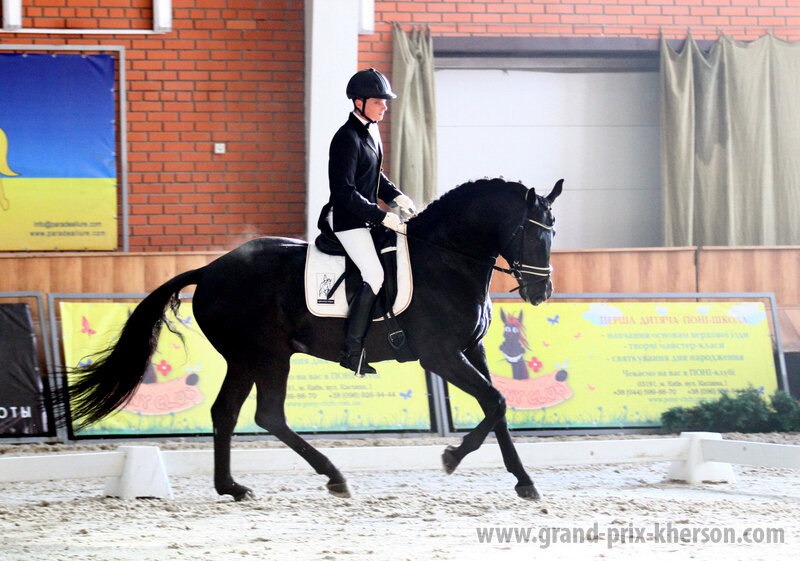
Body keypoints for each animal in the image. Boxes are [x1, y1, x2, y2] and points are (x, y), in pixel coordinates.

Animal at [69, 178, 564, 498]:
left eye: (553, 231)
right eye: (530, 233)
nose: (541, 293)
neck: (446, 260)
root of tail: (209, 270)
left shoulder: (471, 350)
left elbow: (498, 407)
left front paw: (524, 480)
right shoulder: (440, 356)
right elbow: (495, 402)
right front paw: (452, 457)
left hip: (246, 359)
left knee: (226, 413)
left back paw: (232, 487)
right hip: (269, 357)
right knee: (268, 415)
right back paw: (334, 476)